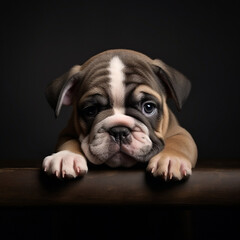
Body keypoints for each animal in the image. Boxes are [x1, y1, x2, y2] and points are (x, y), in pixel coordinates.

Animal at [42, 48, 197, 180]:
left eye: (148, 107)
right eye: (91, 111)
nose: (119, 131)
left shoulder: (180, 132)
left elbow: (178, 142)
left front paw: (171, 159)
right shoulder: (66, 133)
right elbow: (69, 142)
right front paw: (66, 157)